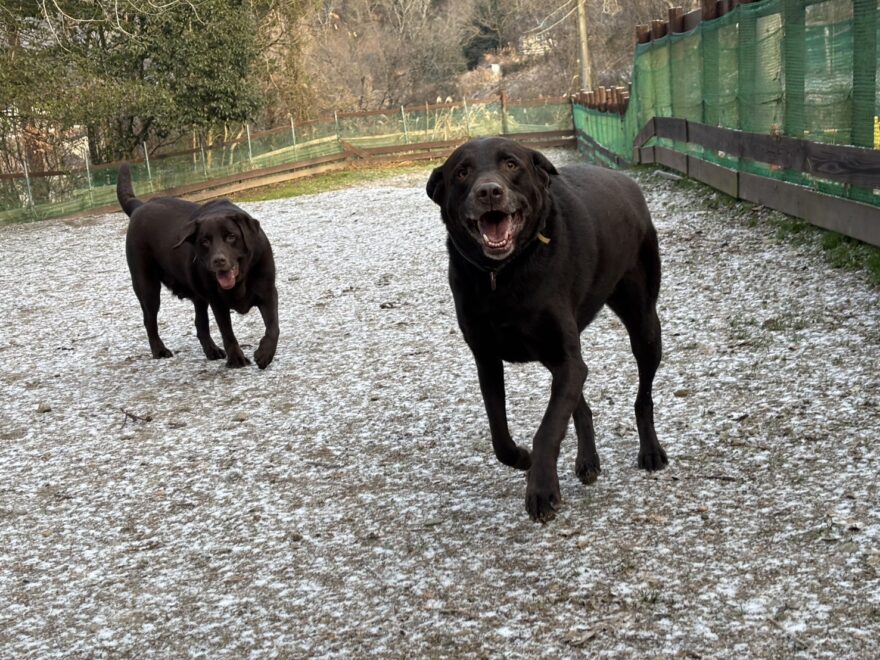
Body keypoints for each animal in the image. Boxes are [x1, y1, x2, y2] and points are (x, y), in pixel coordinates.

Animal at [117, 165, 278, 369]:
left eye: (231, 237)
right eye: (204, 241)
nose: (218, 260)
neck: (240, 279)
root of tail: (139, 206)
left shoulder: (268, 291)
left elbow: (273, 326)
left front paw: (265, 354)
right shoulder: (218, 301)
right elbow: (227, 333)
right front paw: (236, 359)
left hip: (198, 296)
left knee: (200, 324)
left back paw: (212, 350)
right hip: (147, 286)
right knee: (149, 320)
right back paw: (159, 350)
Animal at [427, 137, 667, 523]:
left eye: (511, 164)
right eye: (462, 172)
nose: (489, 191)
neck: (503, 274)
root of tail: (625, 180)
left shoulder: (566, 360)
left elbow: (549, 428)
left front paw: (541, 490)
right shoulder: (487, 360)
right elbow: (499, 435)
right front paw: (522, 459)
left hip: (644, 325)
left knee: (642, 396)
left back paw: (650, 451)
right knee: (580, 405)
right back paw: (587, 460)